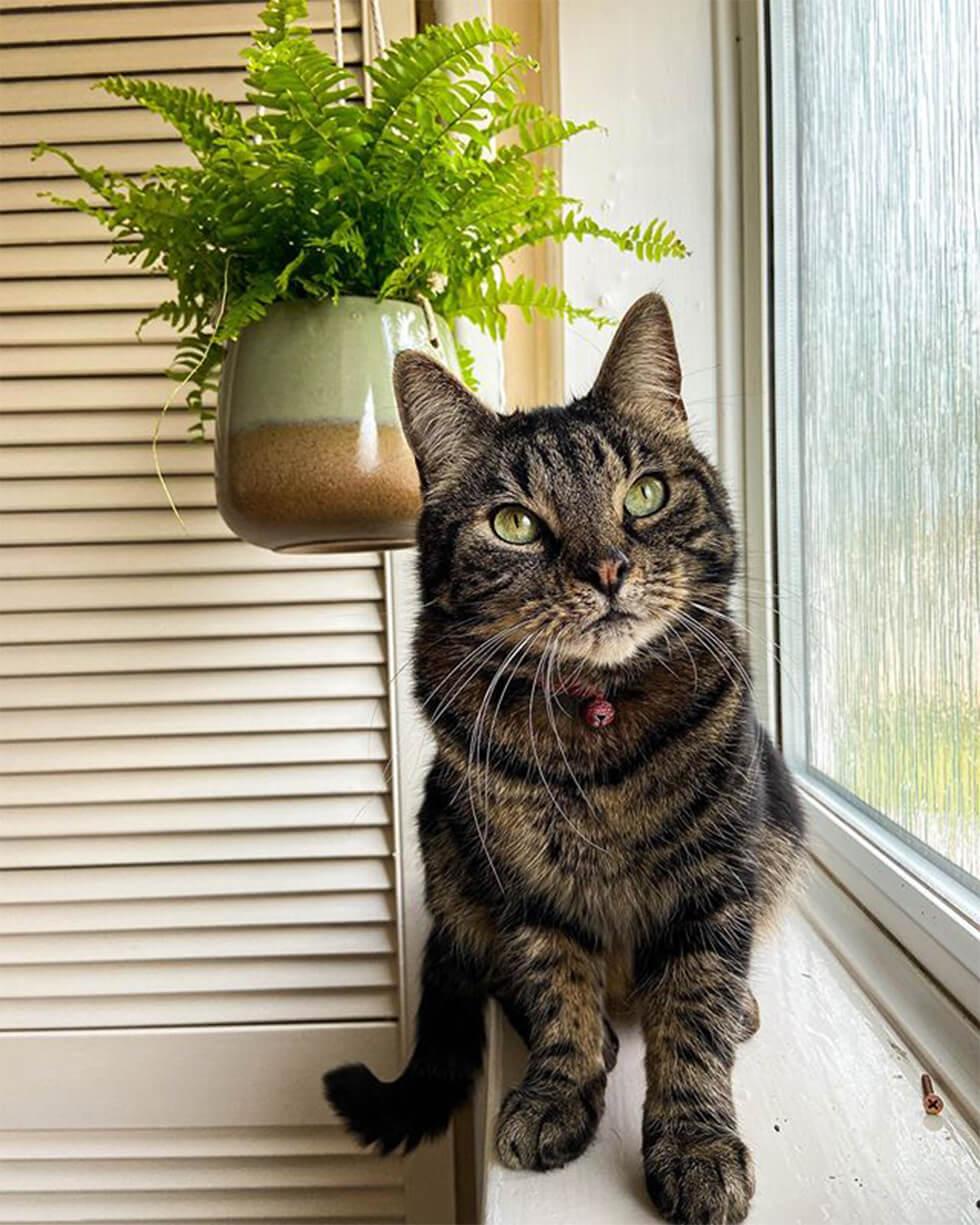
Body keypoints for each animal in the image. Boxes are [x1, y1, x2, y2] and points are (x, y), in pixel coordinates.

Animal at [325, 291, 798, 1220]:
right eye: (515, 523)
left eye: (645, 494)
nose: (608, 568)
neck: (597, 721)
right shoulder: (522, 882)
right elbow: (555, 984)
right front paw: (559, 1090)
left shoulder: (716, 874)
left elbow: (694, 1008)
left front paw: (695, 1141)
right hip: (446, 845)